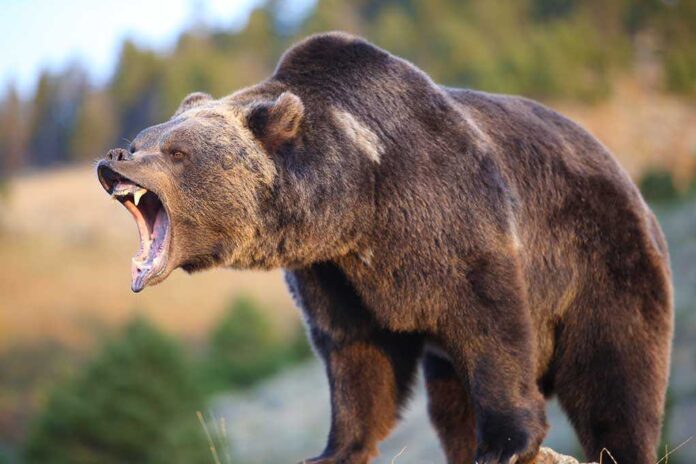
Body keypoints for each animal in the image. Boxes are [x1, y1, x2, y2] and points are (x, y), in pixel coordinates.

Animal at [97, 32, 673, 464]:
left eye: (176, 151)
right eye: (142, 137)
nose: (114, 158)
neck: (358, 200)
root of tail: (626, 177)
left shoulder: (450, 214)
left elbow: (492, 324)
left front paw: (507, 444)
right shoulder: (333, 272)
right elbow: (354, 353)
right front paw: (332, 450)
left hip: (602, 259)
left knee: (616, 376)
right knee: (451, 404)